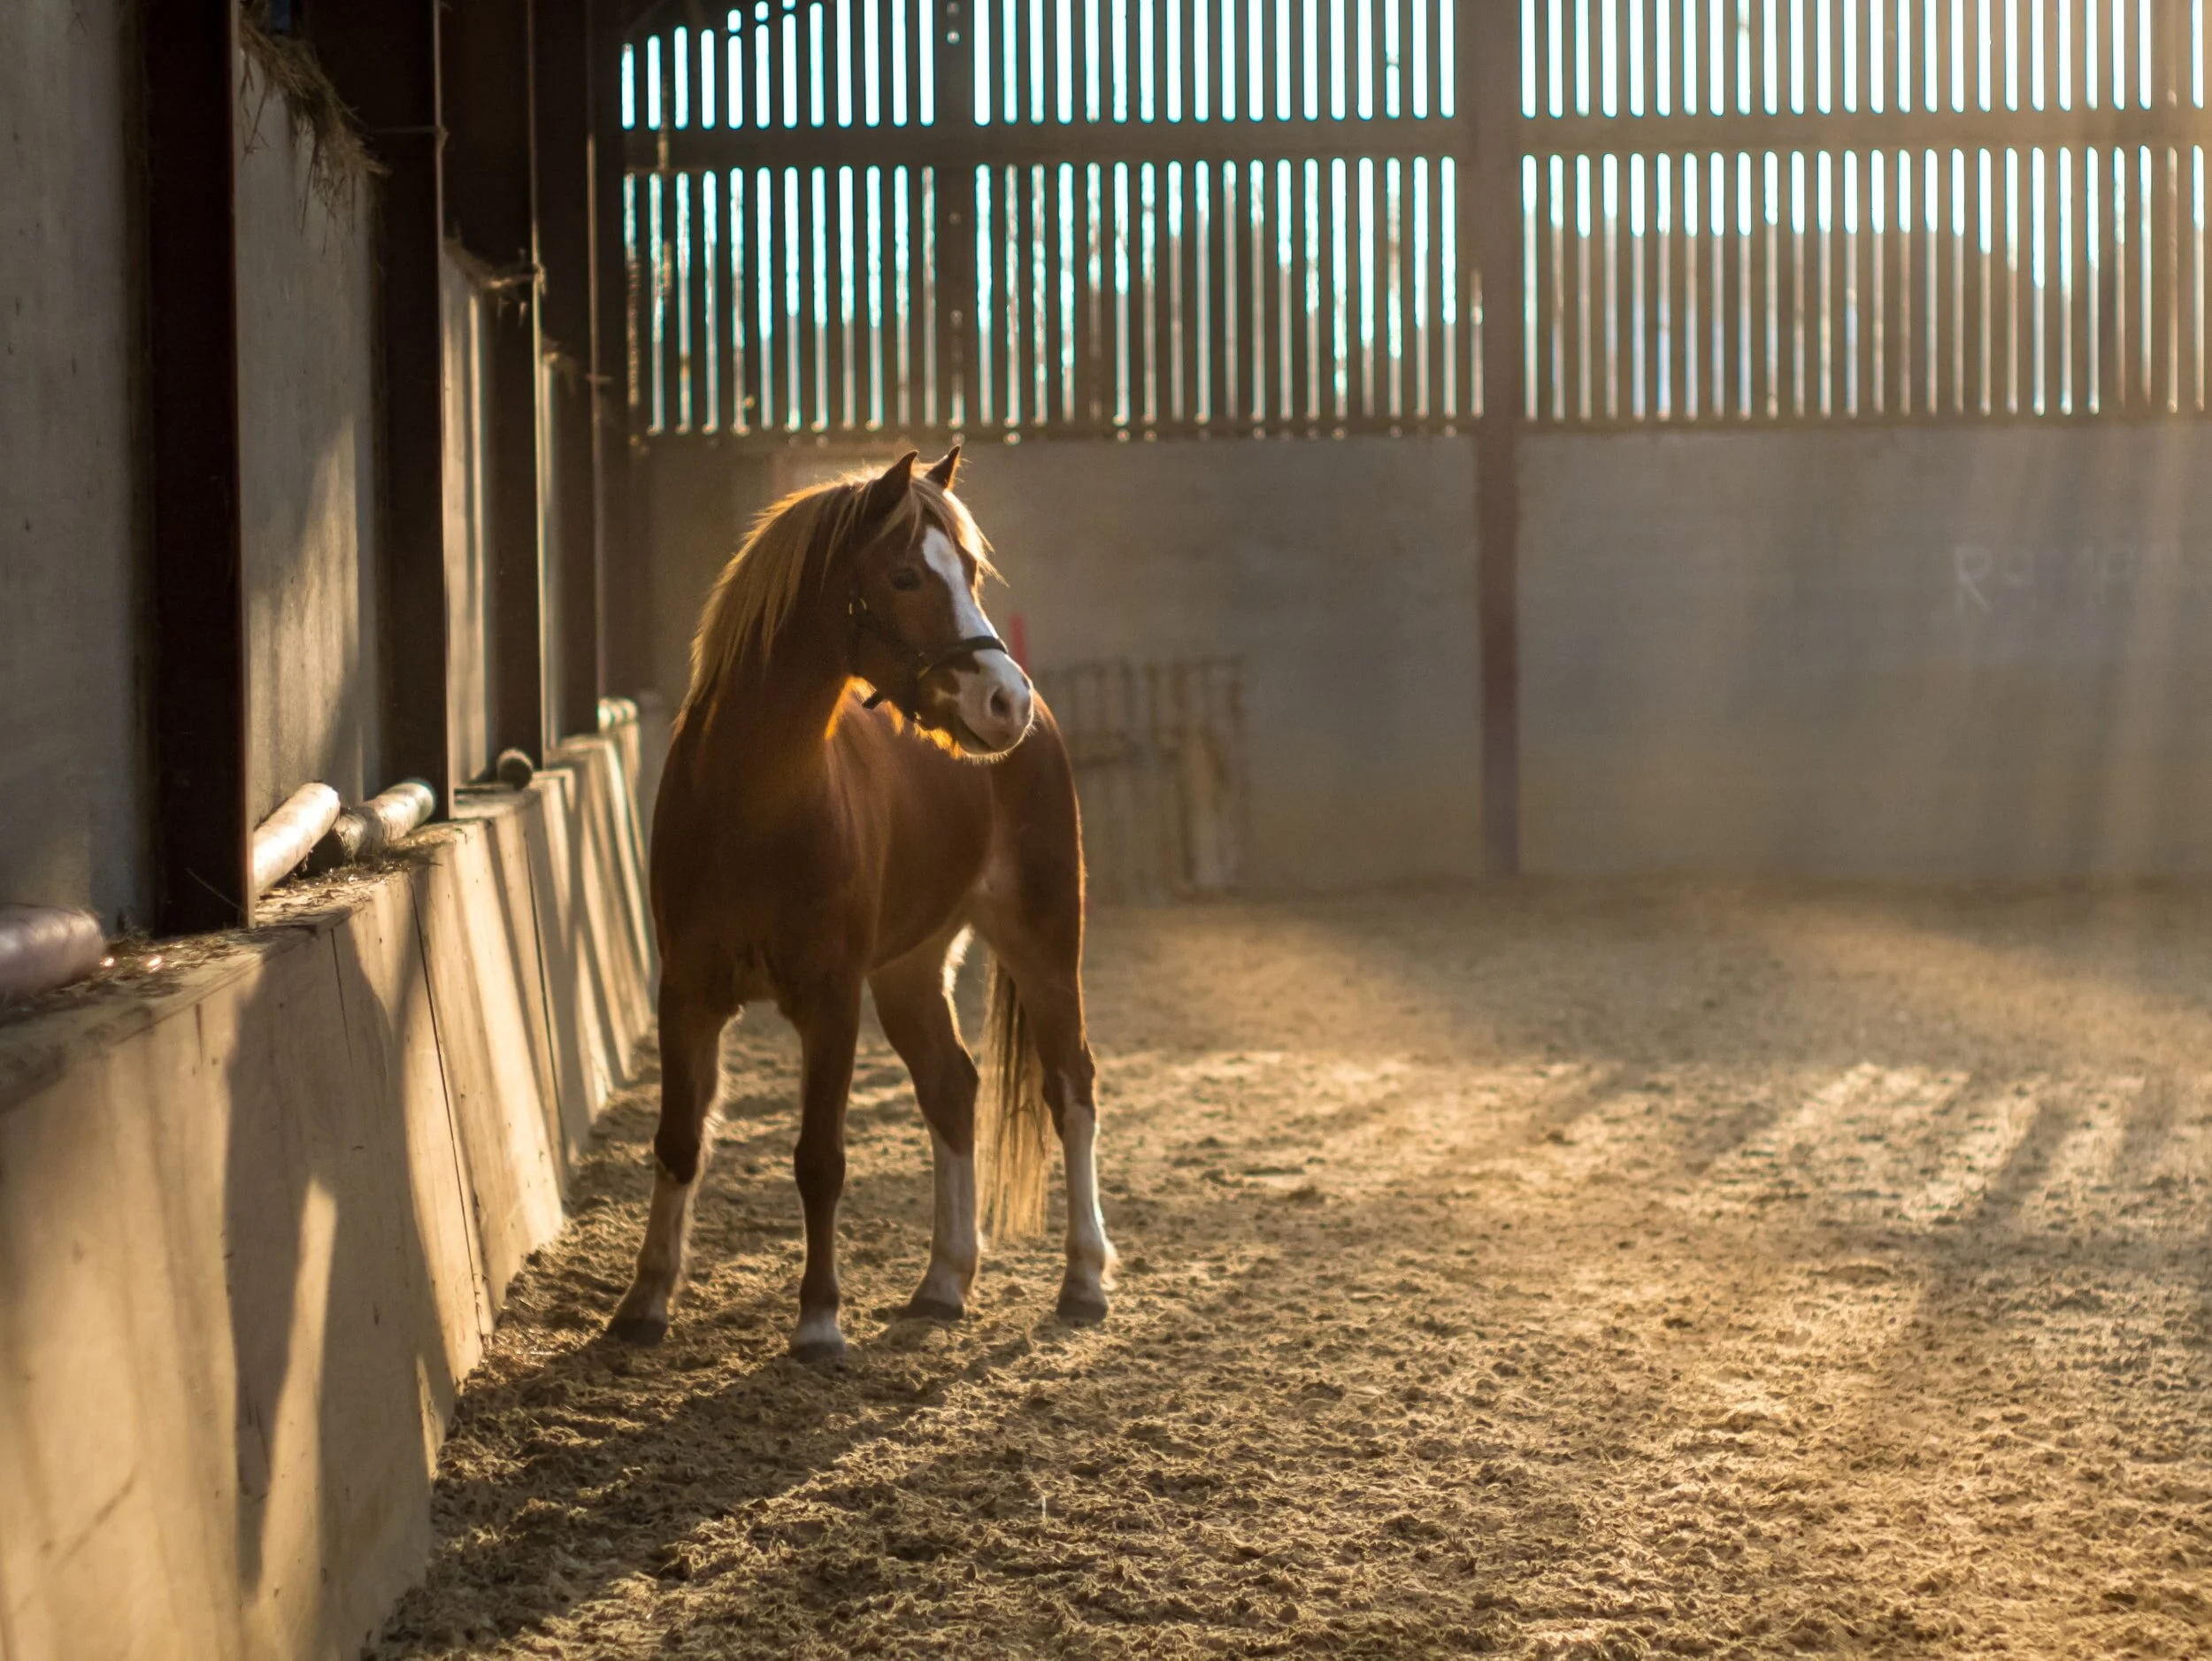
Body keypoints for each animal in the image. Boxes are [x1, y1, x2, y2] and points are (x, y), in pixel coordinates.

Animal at [608, 447, 1115, 1362]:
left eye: (972, 571)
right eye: (906, 574)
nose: (1005, 700)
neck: (754, 801)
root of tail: (1047, 727)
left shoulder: (831, 1000)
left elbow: (820, 1158)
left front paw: (818, 1320)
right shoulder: (687, 994)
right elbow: (676, 1141)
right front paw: (645, 1300)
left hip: (1044, 943)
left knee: (1072, 1087)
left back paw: (1084, 1279)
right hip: (911, 973)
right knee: (953, 1088)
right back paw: (944, 1281)